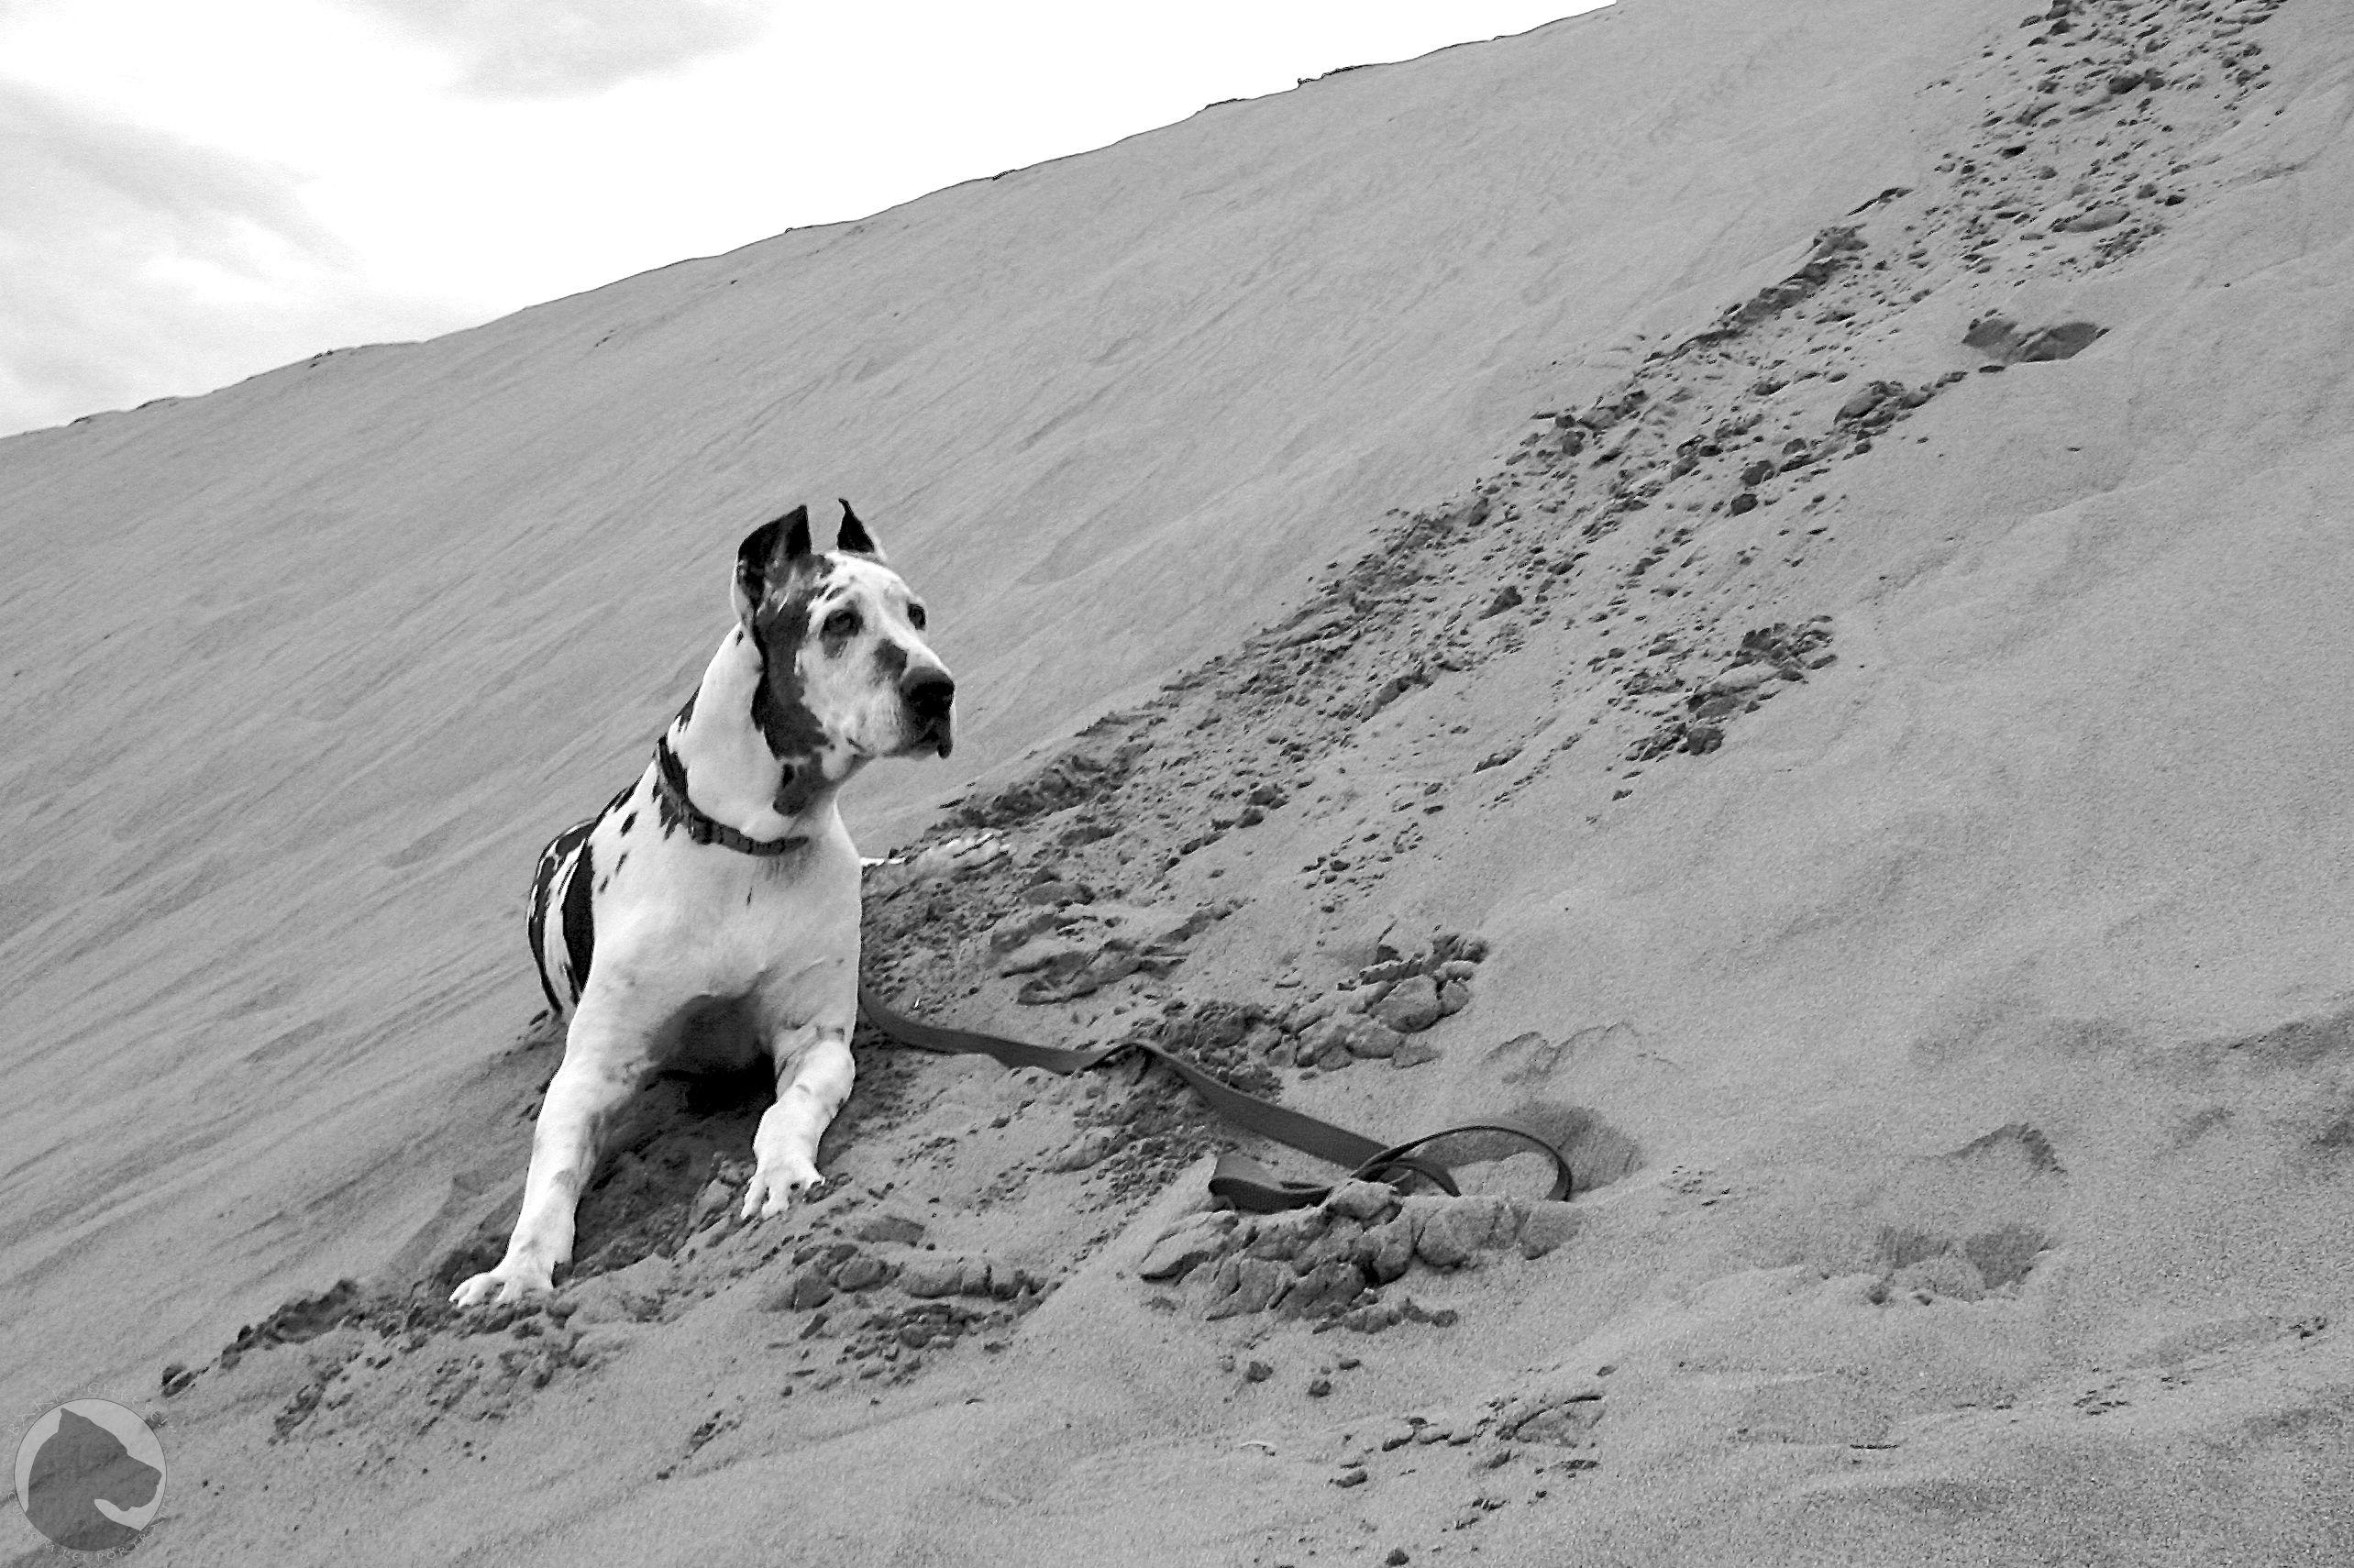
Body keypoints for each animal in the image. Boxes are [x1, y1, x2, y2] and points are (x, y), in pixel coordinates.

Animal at [449, 501, 945, 1309]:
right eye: (839, 621)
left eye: (917, 615)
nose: (938, 689)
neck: (749, 848)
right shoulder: (588, 1077)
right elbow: (549, 1184)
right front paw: (516, 1271)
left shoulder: (816, 1041)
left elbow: (784, 1112)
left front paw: (781, 1174)